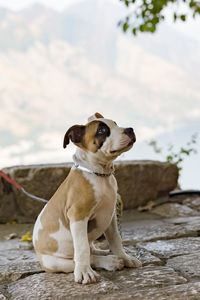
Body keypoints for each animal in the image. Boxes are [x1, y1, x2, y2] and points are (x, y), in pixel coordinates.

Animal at [32, 112, 141, 284]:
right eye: (102, 131)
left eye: (115, 124)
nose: (130, 129)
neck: (100, 174)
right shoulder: (78, 216)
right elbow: (82, 249)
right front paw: (84, 273)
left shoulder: (110, 216)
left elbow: (116, 240)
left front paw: (125, 257)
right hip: (54, 262)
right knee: (82, 258)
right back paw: (109, 262)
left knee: (92, 251)